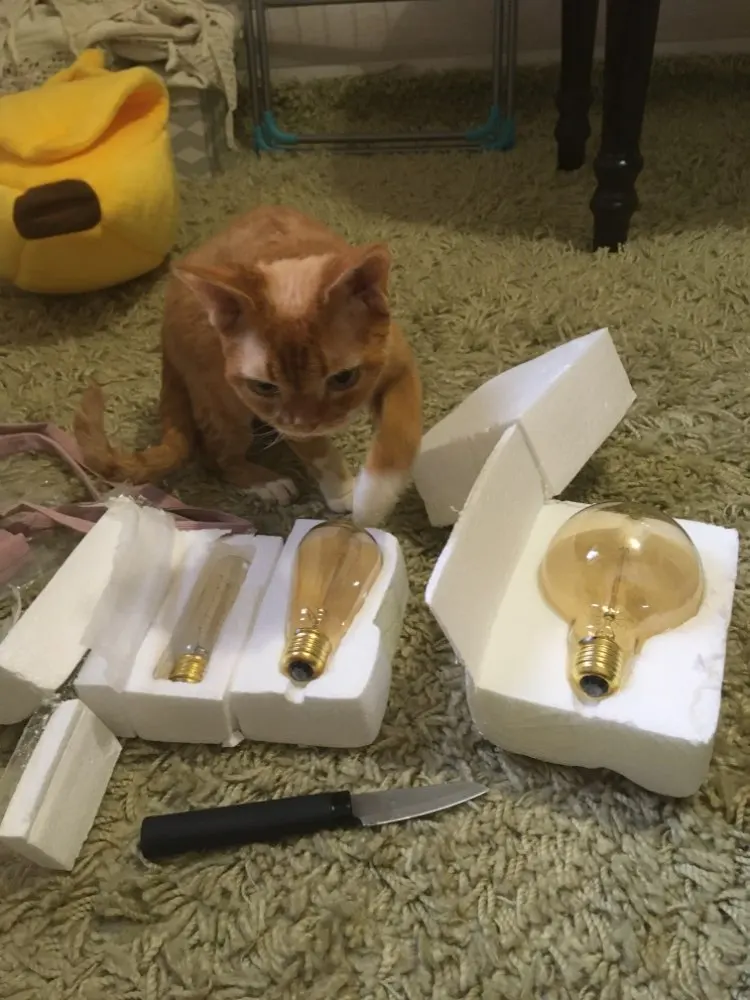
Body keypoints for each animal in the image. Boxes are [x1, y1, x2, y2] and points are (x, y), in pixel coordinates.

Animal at [73, 205, 423, 526]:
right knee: (215, 457)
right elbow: (318, 452)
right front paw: (344, 491)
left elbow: (399, 434)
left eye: (344, 378)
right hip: (225, 405)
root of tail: (165, 342)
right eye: (265, 387)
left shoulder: (401, 369)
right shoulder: (275, 414)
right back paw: (266, 482)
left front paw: (374, 496)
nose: (306, 423)